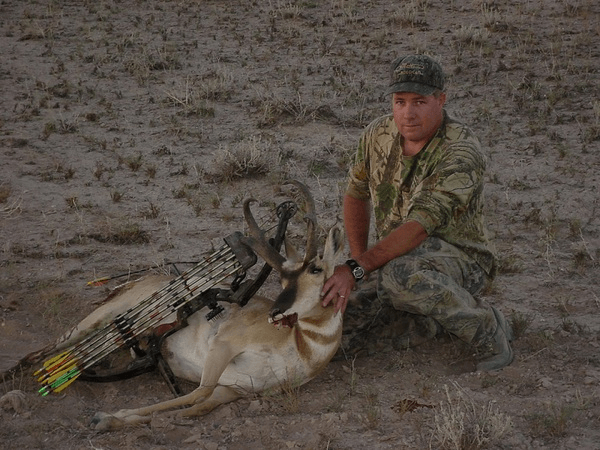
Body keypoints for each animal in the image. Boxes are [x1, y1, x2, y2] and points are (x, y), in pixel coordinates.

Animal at [1, 181, 345, 431]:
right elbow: (197, 393)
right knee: (38, 354)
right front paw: (108, 416)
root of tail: (144, 279)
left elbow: (196, 408)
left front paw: (115, 420)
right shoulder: (223, 346)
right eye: (282, 278)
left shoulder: (235, 389)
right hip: (95, 322)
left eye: (316, 269)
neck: (300, 348)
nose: (276, 313)